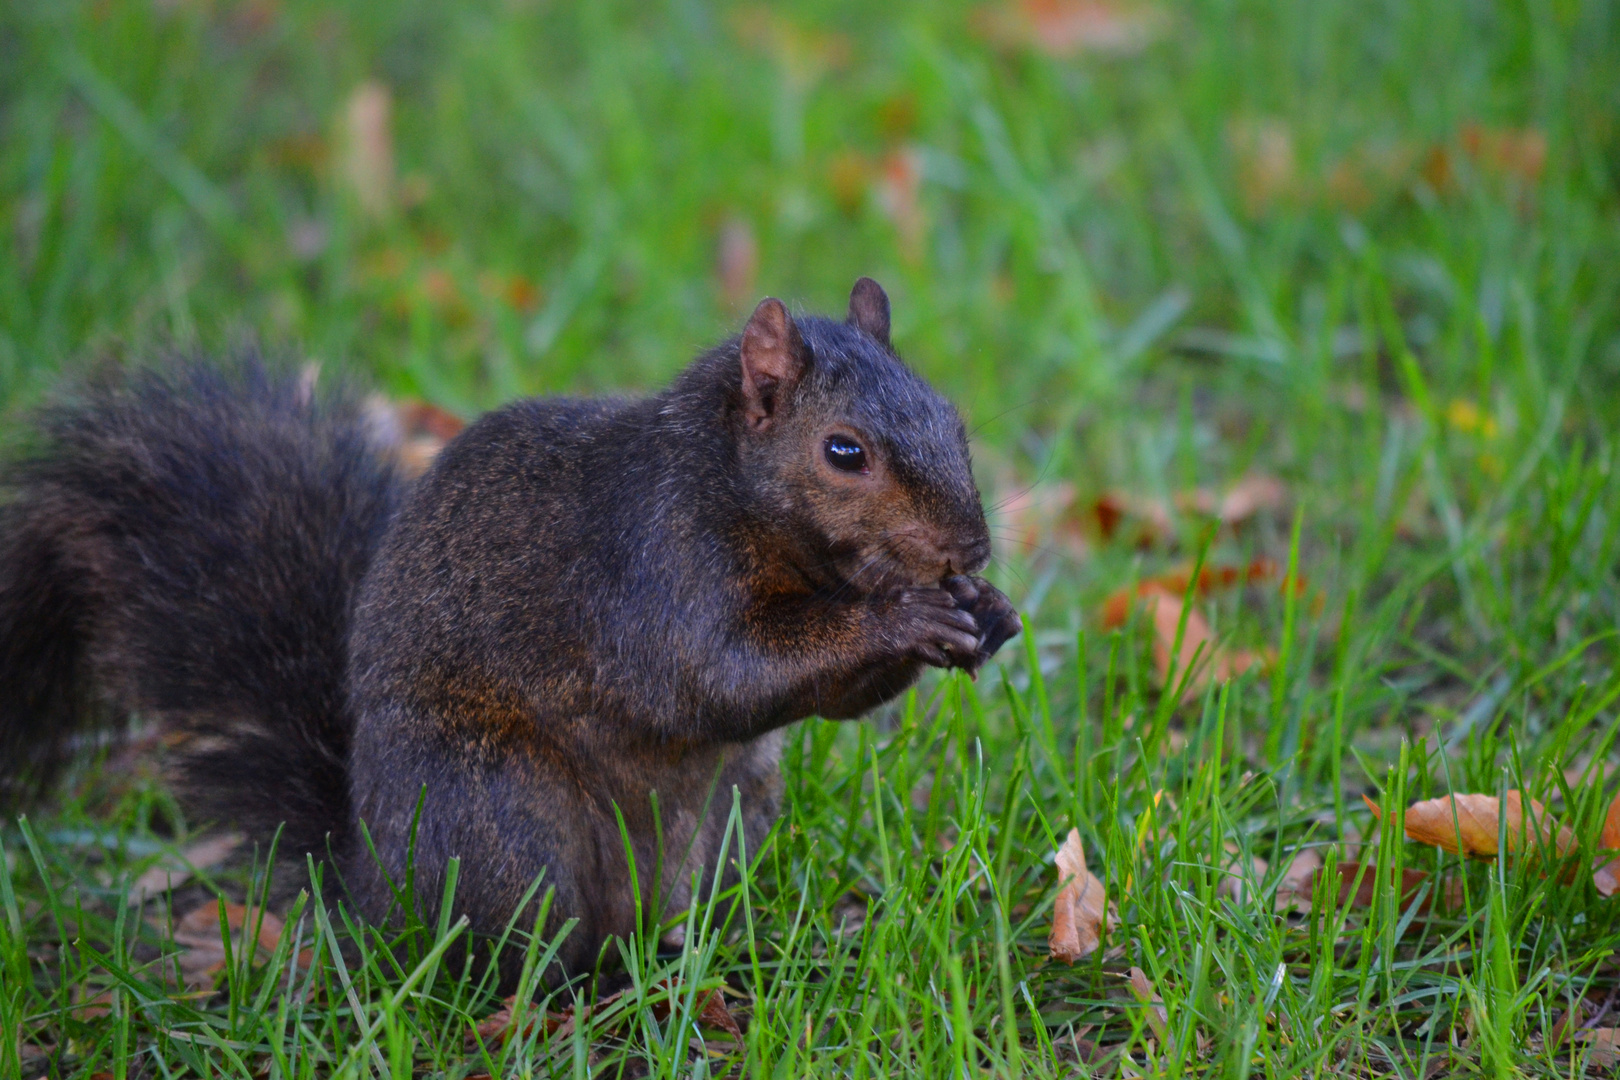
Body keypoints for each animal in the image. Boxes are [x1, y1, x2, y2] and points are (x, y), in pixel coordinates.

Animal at [0, 276, 1010, 977]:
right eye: (844, 451)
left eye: (953, 418)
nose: (972, 545)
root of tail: (371, 892)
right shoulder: (658, 564)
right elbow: (714, 675)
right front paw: (902, 613)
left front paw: (982, 614)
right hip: (499, 815)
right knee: (502, 954)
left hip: (734, 810)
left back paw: (714, 952)